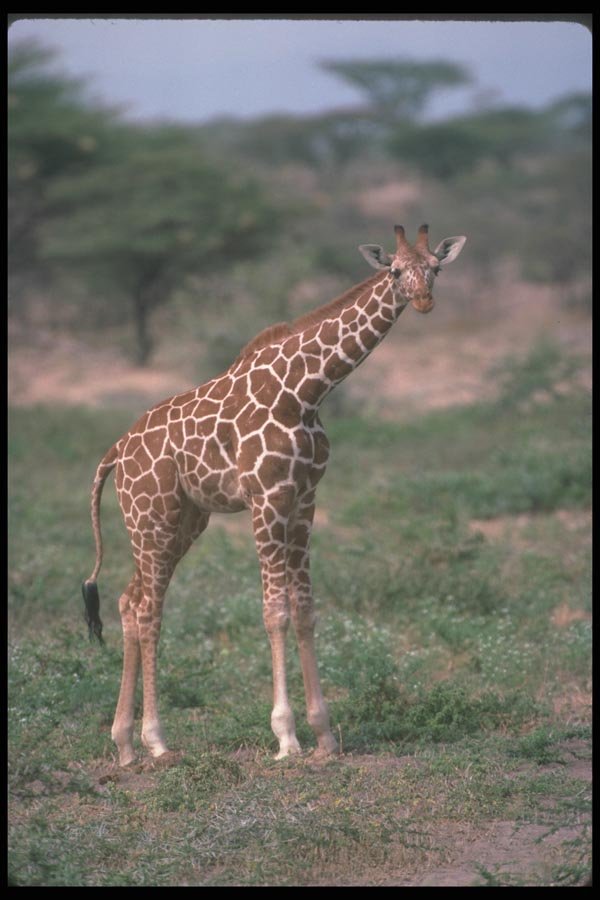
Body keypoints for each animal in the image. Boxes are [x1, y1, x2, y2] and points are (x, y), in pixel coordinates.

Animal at [83, 223, 466, 767]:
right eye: (394, 270)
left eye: (434, 267)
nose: (424, 300)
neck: (305, 390)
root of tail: (116, 450)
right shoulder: (265, 499)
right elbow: (274, 612)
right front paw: (286, 737)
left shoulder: (304, 500)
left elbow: (305, 609)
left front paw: (324, 735)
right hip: (151, 516)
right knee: (148, 609)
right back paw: (156, 741)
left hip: (184, 520)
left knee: (127, 599)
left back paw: (125, 744)